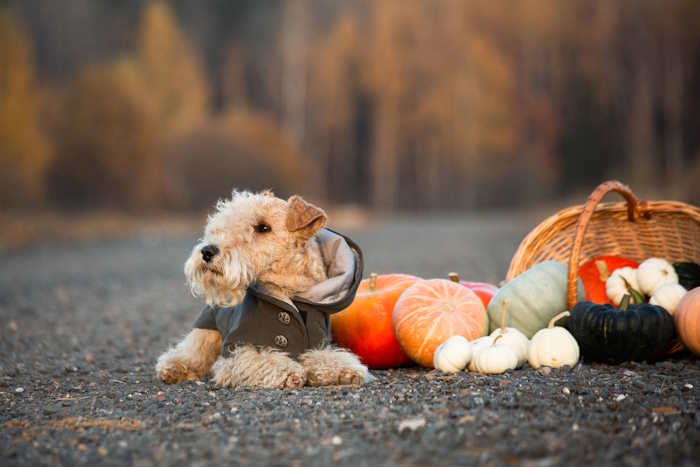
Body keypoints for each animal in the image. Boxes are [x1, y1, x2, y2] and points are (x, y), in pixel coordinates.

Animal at [155, 192, 370, 390]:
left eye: (263, 227)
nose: (207, 252)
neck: (288, 294)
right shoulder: (236, 348)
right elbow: (260, 359)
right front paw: (289, 371)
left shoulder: (318, 340)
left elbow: (324, 356)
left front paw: (347, 370)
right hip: (206, 333)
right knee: (187, 354)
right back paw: (172, 370)